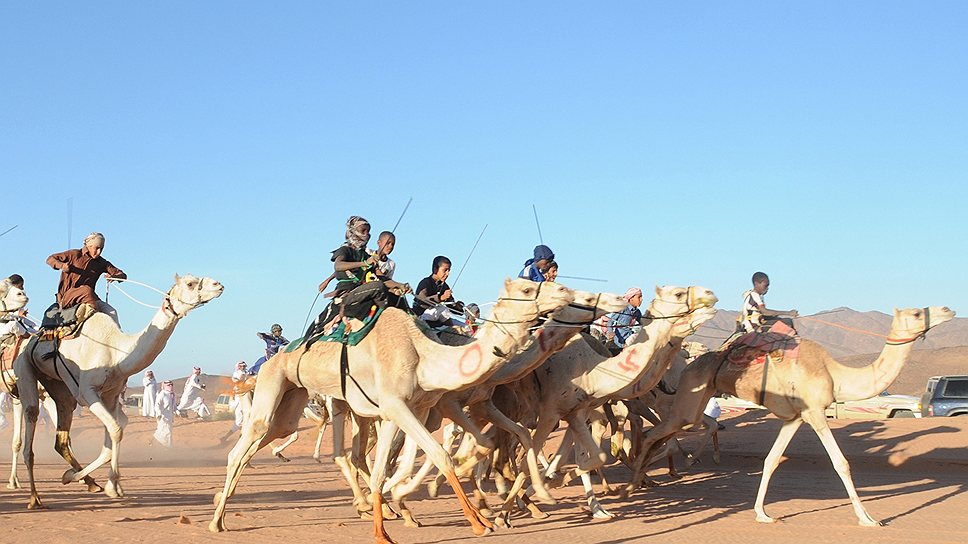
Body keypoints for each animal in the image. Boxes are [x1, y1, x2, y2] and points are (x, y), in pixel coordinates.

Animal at [12, 274, 225, 508]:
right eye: (190, 283)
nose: (218, 285)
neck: (116, 353)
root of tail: (30, 339)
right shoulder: (87, 392)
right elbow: (116, 430)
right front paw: (109, 486)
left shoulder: (111, 395)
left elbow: (110, 441)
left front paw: (103, 482)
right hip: (25, 368)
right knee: (31, 416)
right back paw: (34, 497)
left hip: (59, 387)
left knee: (61, 434)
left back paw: (84, 481)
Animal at [210, 278, 576, 540]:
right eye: (527, 288)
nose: (569, 293)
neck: (429, 354)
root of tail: (269, 361)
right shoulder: (418, 406)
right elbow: (440, 454)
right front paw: (478, 520)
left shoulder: (406, 409)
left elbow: (391, 465)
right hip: (279, 387)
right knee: (248, 445)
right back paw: (216, 521)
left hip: (295, 400)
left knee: (278, 439)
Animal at [624, 306, 956, 528]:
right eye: (917, 313)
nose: (948, 309)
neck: (835, 375)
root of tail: (691, 362)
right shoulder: (814, 412)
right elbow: (841, 463)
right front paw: (868, 518)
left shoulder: (794, 418)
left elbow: (772, 460)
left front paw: (762, 513)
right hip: (689, 404)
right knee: (656, 433)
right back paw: (635, 483)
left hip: (692, 403)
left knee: (663, 433)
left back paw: (647, 477)